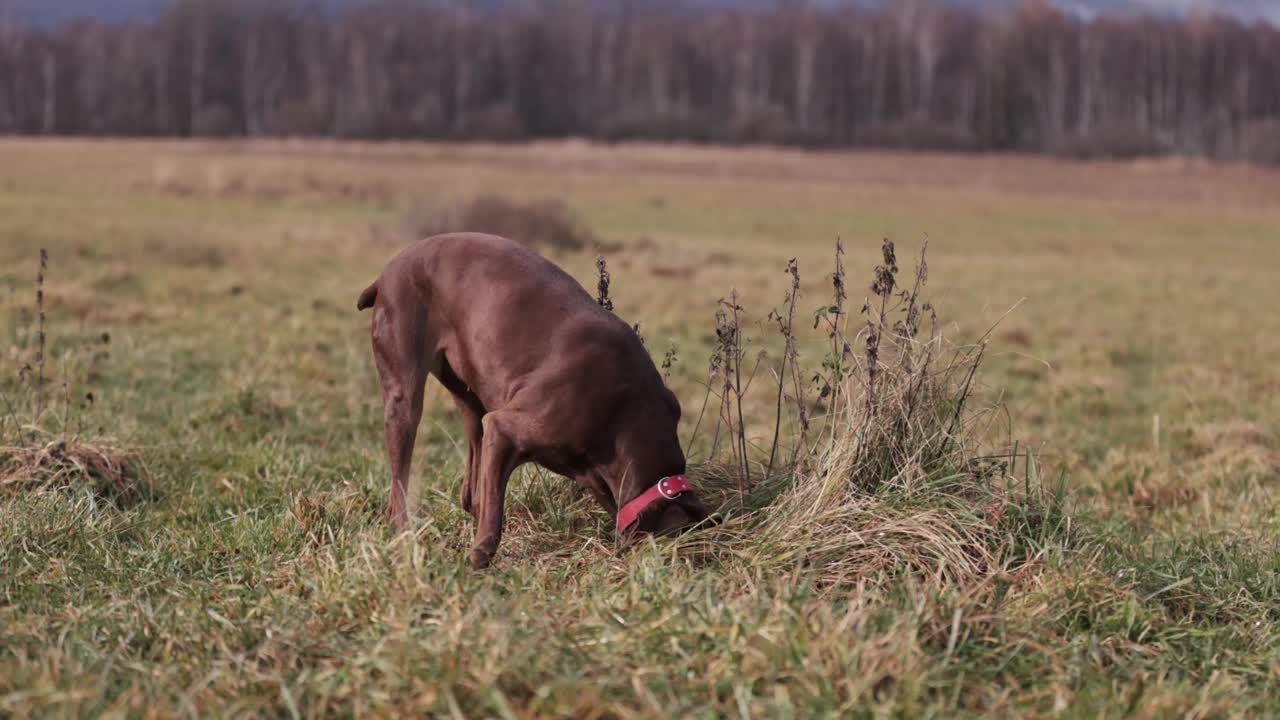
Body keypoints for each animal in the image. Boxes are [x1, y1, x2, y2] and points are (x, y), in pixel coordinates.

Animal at [355, 233, 711, 563]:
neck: (629, 412)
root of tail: (386, 273)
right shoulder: (505, 429)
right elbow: (495, 511)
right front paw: (479, 556)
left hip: (469, 395)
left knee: (472, 481)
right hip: (405, 395)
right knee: (401, 485)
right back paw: (404, 536)